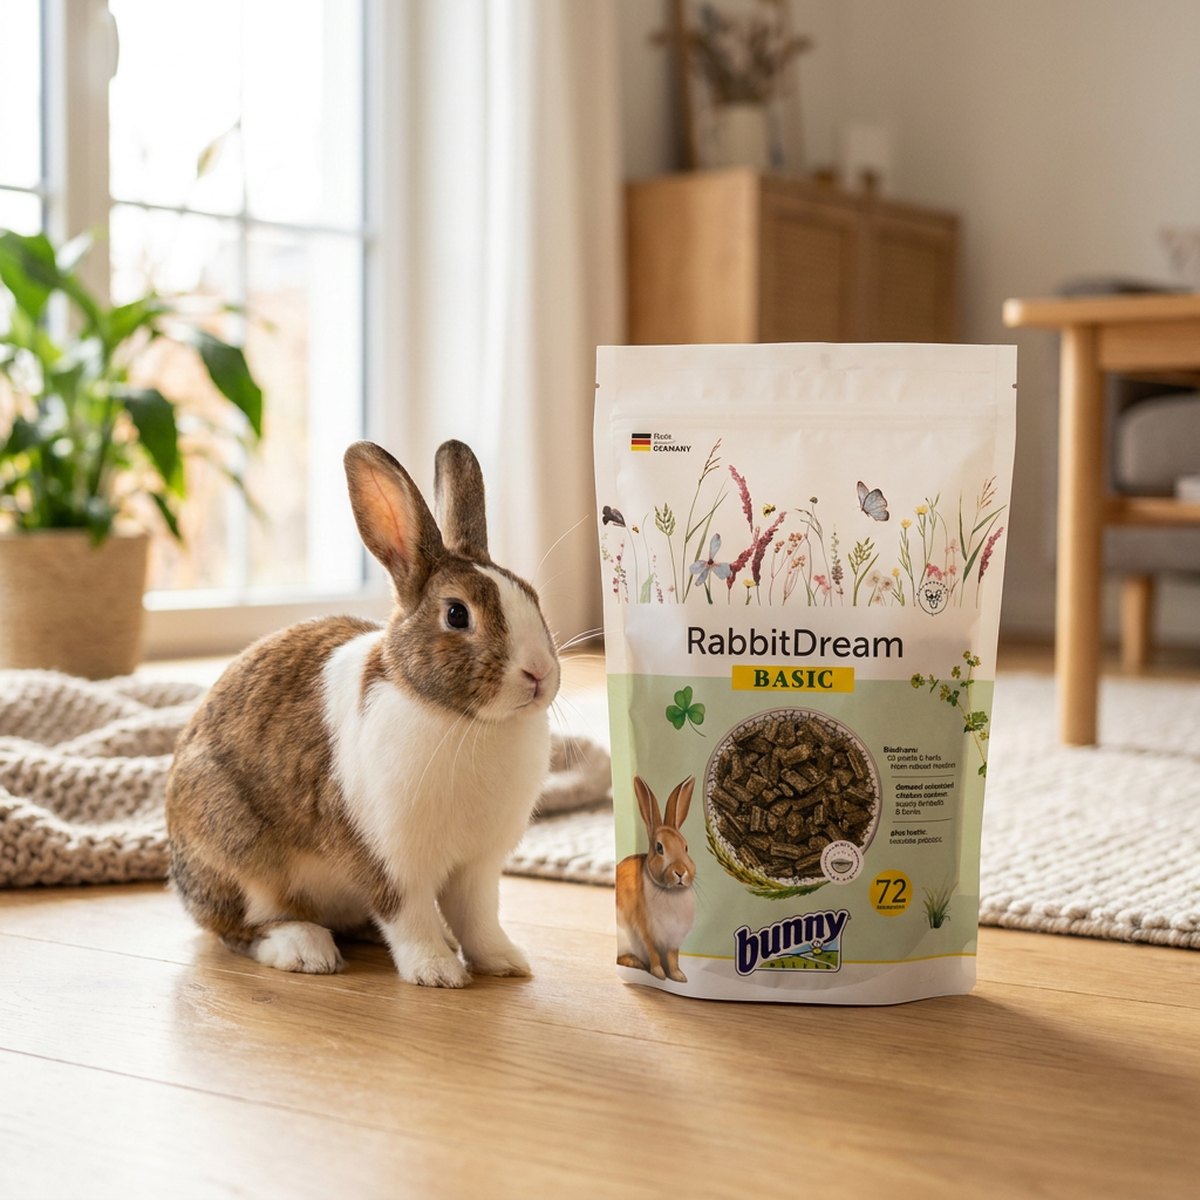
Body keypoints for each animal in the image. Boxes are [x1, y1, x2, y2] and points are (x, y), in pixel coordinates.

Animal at [165, 439, 561, 988]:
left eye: (533, 597)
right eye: (457, 614)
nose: (539, 673)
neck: (460, 718)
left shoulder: (477, 868)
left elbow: (479, 918)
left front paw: (504, 962)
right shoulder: (388, 860)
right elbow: (407, 916)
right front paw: (436, 972)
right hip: (237, 859)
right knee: (242, 929)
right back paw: (305, 950)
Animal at [615, 775, 696, 983]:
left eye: (685, 847)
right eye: (659, 848)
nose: (680, 872)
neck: (670, 891)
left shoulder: (673, 940)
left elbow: (673, 957)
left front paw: (678, 976)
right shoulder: (646, 931)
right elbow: (653, 954)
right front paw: (659, 974)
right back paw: (635, 962)